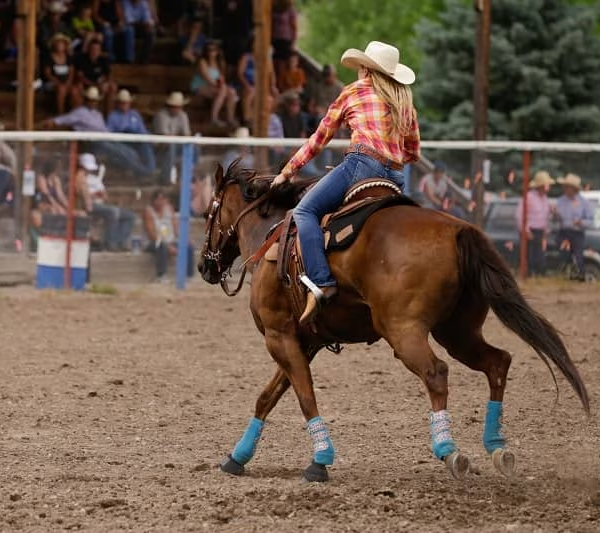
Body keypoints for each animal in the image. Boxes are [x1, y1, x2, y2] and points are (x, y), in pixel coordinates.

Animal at [198, 161, 592, 482]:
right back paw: (497, 446)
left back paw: (450, 451)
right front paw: (237, 457)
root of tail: (458, 229)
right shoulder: (302, 341)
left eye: (207, 214)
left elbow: (304, 397)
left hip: (404, 331)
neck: (271, 240)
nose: (204, 266)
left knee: (437, 373)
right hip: (458, 332)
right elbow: (268, 397)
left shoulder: (278, 335)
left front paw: (320, 460)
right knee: (498, 362)